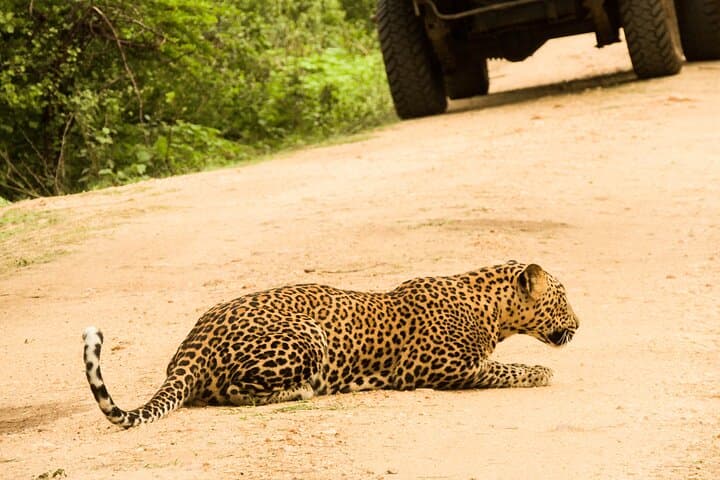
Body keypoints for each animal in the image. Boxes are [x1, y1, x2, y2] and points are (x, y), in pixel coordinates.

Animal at [83, 261, 579, 429]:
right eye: (562, 298)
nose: (579, 322)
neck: (492, 309)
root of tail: (195, 340)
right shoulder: (435, 368)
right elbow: (504, 368)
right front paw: (541, 372)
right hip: (308, 334)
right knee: (233, 393)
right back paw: (303, 390)